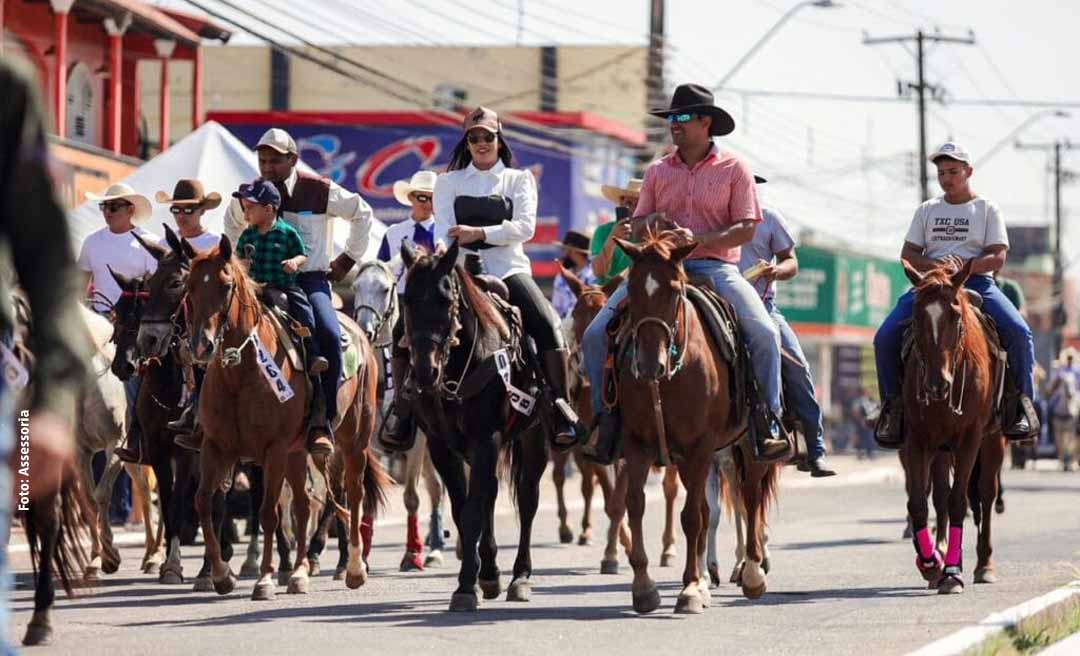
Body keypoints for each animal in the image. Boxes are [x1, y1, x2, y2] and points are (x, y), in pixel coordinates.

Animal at [182, 235, 388, 600]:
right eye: (189, 286)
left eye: (225, 285)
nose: (202, 346)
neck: (241, 372)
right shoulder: (215, 447)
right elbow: (204, 501)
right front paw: (221, 575)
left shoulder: (273, 450)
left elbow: (268, 512)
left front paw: (263, 579)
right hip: (298, 450)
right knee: (305, 505)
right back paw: (300, 573)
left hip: (353, 441)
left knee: (351, 493)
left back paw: (352, 568)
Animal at [354, 261, 447, 570]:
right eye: (356, 287)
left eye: (385, 289)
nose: (365, 329)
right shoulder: (369, 441)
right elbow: (368, 494)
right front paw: (363, 556)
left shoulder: (416, 443)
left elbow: (411, 497)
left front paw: (412, 553)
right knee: (436, 487)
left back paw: (436, 548)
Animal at [613, 233, 781, 613]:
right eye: (631, 288)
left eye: (675, 290)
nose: (650, 364)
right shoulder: (635, 443)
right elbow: (636, 505)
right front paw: (644, 586)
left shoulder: (701, 446)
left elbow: (692, 516)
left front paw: (689, 589)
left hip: (747, 444)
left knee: (750, 497)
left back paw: (752, 572)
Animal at [898, 260, 1006, 596]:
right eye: (917, 316)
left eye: (956, 316)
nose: (937, 385)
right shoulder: (917, 439)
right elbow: (919, 502)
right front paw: (930, 562)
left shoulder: (970, 438)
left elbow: (960, 502)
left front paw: (952, 573)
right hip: (942, 447)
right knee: (940, 496)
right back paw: (942, 551)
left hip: (992, 440)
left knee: (985, 493)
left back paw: (984, 564)